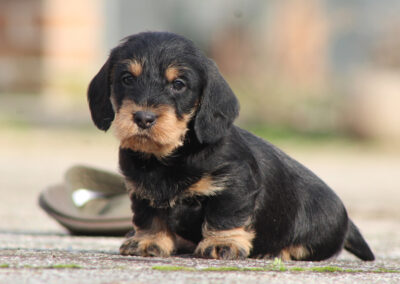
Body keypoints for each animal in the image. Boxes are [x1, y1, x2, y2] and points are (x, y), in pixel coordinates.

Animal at [87, 31, 376, 262]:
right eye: (127, 79)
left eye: (179, 84)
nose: (143, 118)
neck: (171, 156)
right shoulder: (142, 190)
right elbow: (149, 216)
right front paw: (148, 240)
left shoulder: (233, 184)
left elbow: (225, 215)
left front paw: (221, 243)